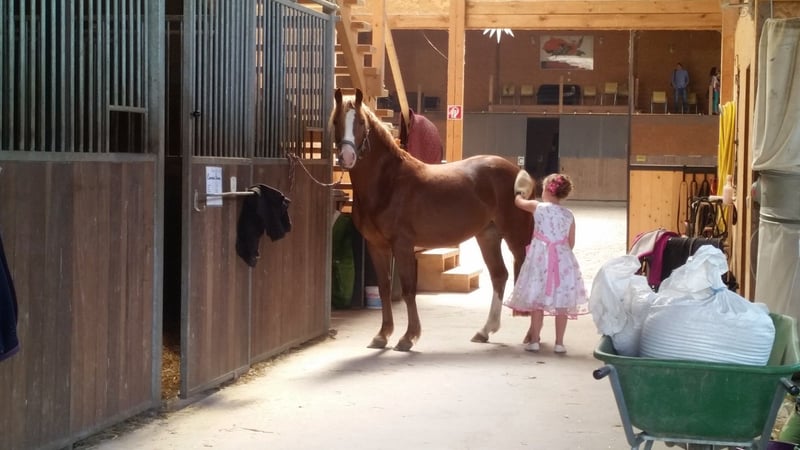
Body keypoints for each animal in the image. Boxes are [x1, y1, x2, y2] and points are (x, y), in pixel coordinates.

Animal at [331, 88, 533, 351]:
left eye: (361, 122)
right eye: (336, 121)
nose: (347, 156)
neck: (388, 183)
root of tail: (516, 172)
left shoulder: (403, 245)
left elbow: (408, 290)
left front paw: (408, 337)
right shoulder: (376, 245)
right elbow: (384, 288)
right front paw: (382, 335)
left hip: (516, 237)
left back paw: (530, 336)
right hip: (488, 236)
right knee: (499, 275)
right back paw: (485, 331)